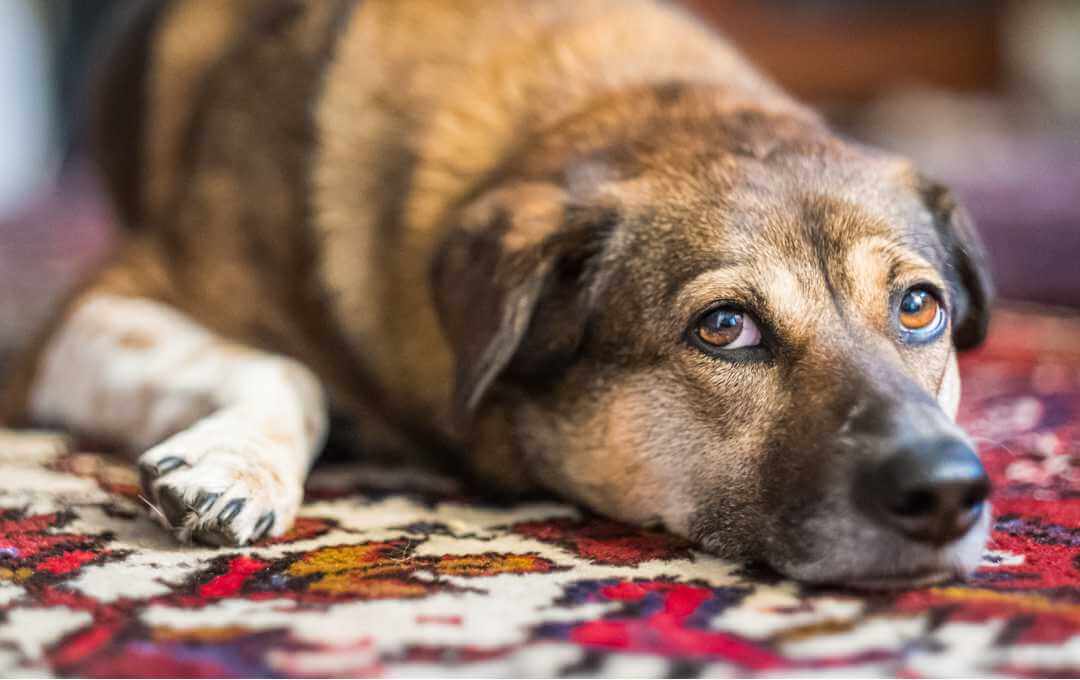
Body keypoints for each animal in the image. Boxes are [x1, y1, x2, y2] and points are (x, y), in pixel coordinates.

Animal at [2, 0, 993, 587]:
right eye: (724, 327)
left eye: (918, 308)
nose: (949, 491)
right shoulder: (88, 314)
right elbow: (290, 370)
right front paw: (233, 467)